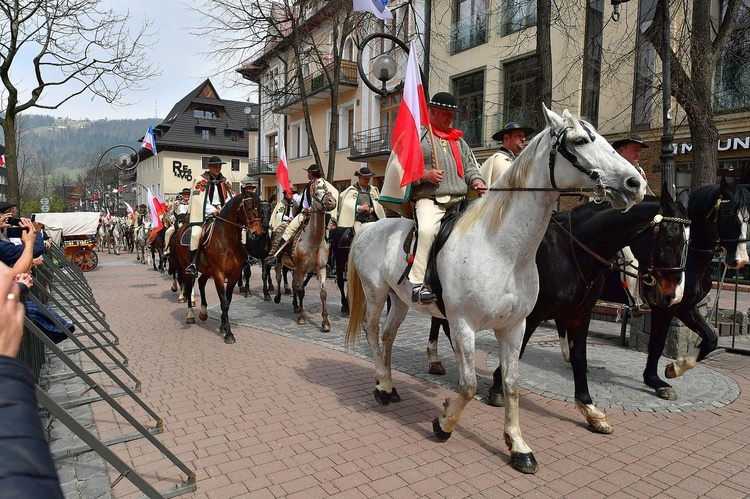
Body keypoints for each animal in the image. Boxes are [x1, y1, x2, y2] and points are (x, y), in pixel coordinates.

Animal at [173, 191, 264, 344]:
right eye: (248, 207)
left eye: (261, 208)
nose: (257, 233)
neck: (227, 240)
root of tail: (182, 228)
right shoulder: (219, 274)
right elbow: (224, 302)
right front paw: (229, 333)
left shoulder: (234, 275)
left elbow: (228, 300)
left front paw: (223, 326)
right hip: (187, 269)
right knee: (189, 286)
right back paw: (190, 315)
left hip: (206, 271)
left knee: (201, 282)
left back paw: (203, 312)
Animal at [274, 179, 338, 332]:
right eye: (316, 194)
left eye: (328, 191)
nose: (332, 202)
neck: (314, 242)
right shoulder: (301, 269)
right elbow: (301, 290)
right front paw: (302, 318)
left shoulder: (321, 269)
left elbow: (323, 293)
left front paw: (325, 323)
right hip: (279, 263)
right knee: (279, 278)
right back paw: (278, 297)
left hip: (294, 269)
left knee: (293, 284)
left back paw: (295, 305)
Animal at [346, 106, 648, 476]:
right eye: (579, 141)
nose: (635, 183)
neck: (502, 248)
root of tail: (369, 227)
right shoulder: (462, 324)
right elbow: (468, 385)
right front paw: (444, 422)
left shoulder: (516, 325)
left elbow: (512, 384)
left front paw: (518, 446)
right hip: (375, 294)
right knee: (372, 332)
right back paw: (381, 386)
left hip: (399, 300)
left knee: (387, 337)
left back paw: (388, 385)